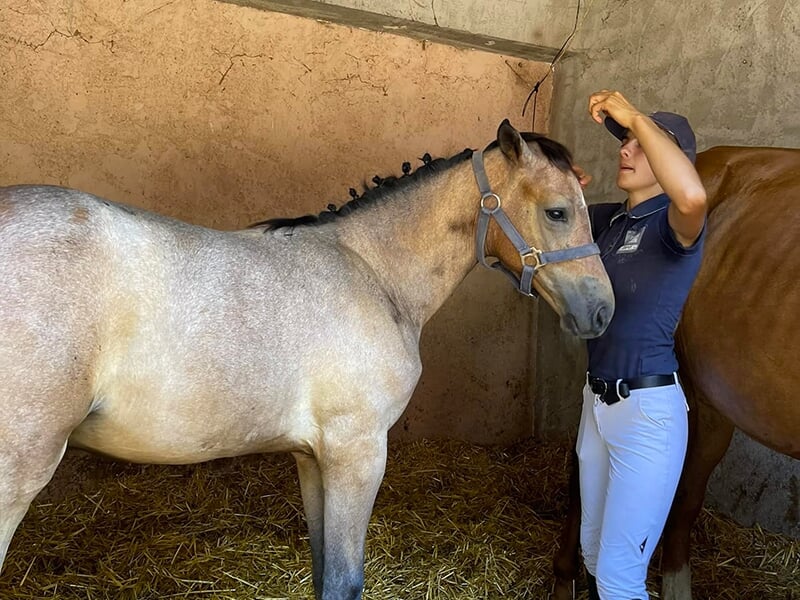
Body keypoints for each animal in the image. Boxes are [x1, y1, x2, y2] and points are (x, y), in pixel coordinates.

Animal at [0, 120, 613, 600]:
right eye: (558, 212)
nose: (602, 310)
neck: (371, 271)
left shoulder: (313, 457)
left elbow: (323, 572)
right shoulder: (357, 452)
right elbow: (344, 580)